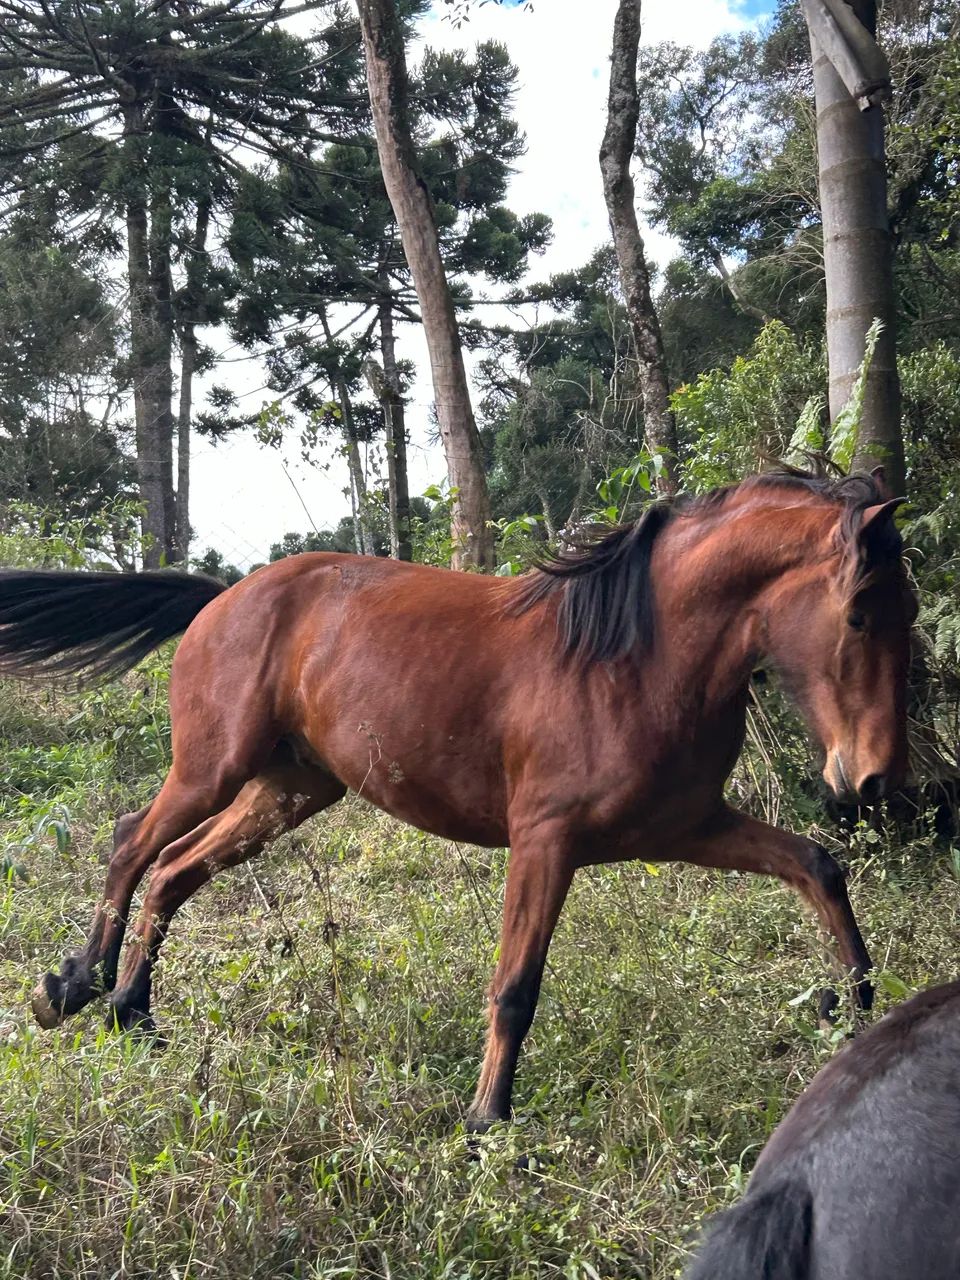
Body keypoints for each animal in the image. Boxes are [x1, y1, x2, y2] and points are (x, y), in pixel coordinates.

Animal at [0, 469, 915, 1132]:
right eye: (859, 615)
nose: (872, 781)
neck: (636, 659)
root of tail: (225, 594)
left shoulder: (689, 827)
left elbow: (817, 868)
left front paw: (853, 1006)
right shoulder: (546, 841)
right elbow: (516, 987)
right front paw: (486, 1124)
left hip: (288, 789)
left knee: (175, 870)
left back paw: (132, 1014)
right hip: (212, 769)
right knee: (132, 842)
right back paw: (72, 988)